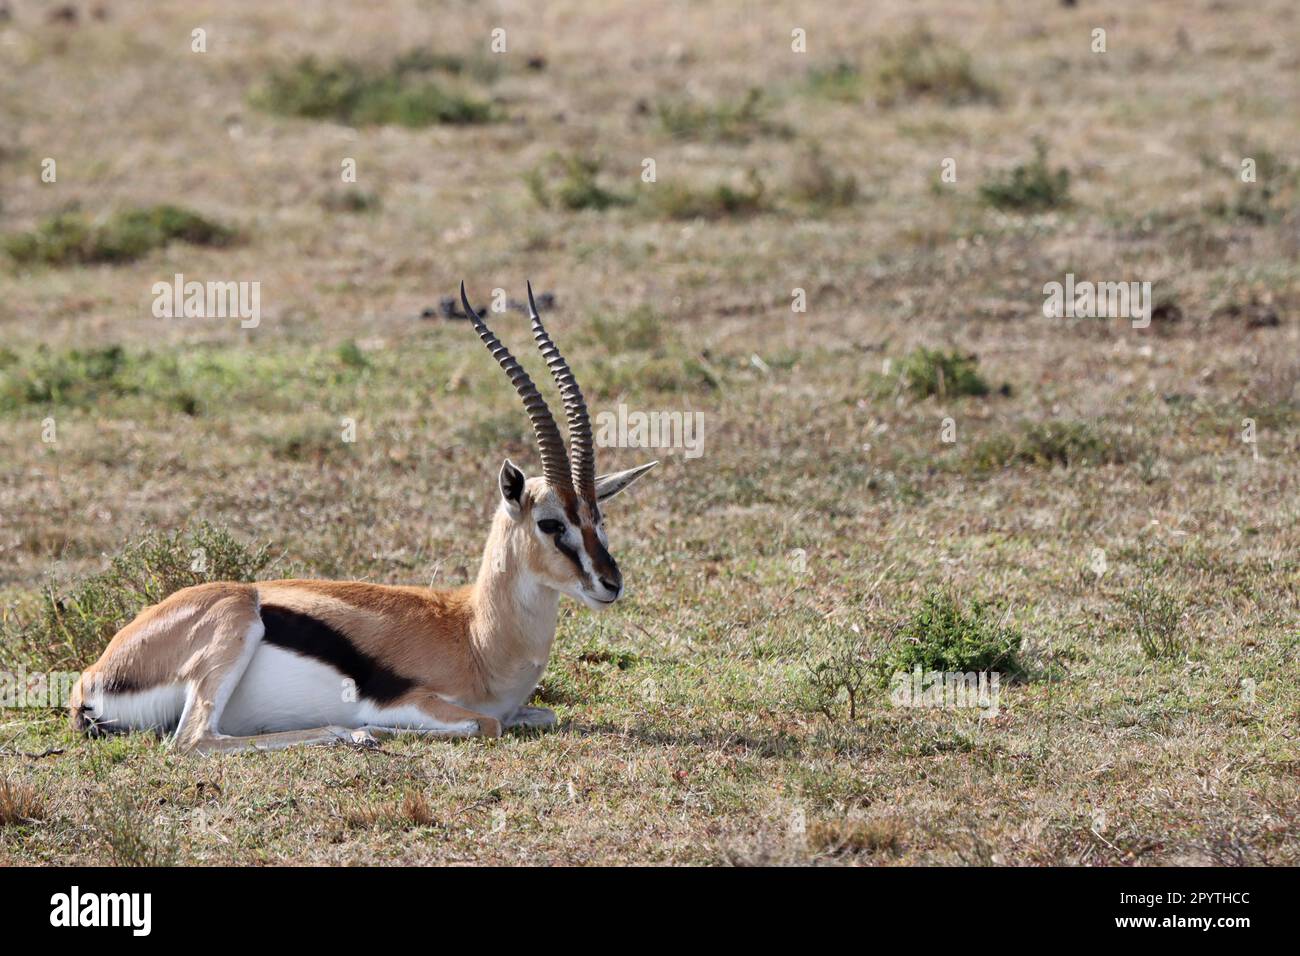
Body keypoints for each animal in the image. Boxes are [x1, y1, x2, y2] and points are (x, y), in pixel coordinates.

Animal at [68, 282, 657, 754]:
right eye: (551, 523)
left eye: (598, 517)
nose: (610, 584)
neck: (474, 633)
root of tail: (92, 677)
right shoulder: (416, 701)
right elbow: (482, 725)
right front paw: (371, 729)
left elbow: (543, 715)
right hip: (235, 627)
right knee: (192, 741)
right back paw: (349, 733)